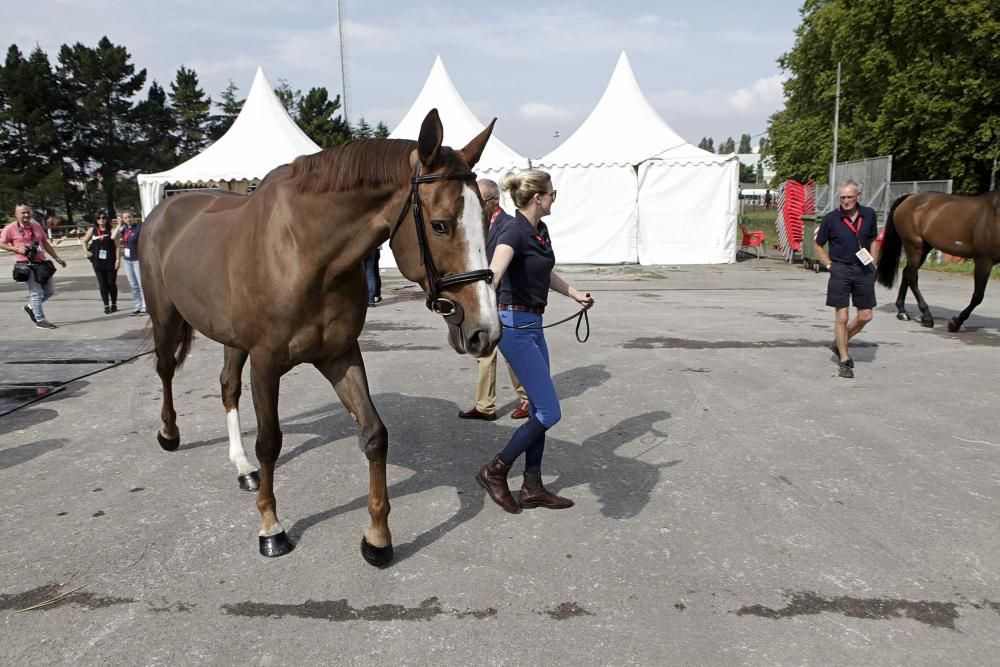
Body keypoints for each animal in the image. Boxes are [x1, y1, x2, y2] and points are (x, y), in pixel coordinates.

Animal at [137, 111, 500, 568]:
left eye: (486, 220)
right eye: (440, 225)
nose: (486, 331)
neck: (305, 252)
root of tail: (162, 209)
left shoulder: (340, 355)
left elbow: (374, 434)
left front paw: (377, 537)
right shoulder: (266, 362)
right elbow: (270, 442)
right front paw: (271, 527)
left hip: (231, 337)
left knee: (227, 386)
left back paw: (242, 467)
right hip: (166, 318)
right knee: (166, 369)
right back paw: (169, 434)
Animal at [876, 190, 1000, 332]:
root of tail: (910, 197)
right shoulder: (983, 260)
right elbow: (978, 296)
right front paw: (955, 323)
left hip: (925, 248)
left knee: (907, 273)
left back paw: (902, 311)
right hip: (914, 246)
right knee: (912, 277)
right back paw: (926, 316)